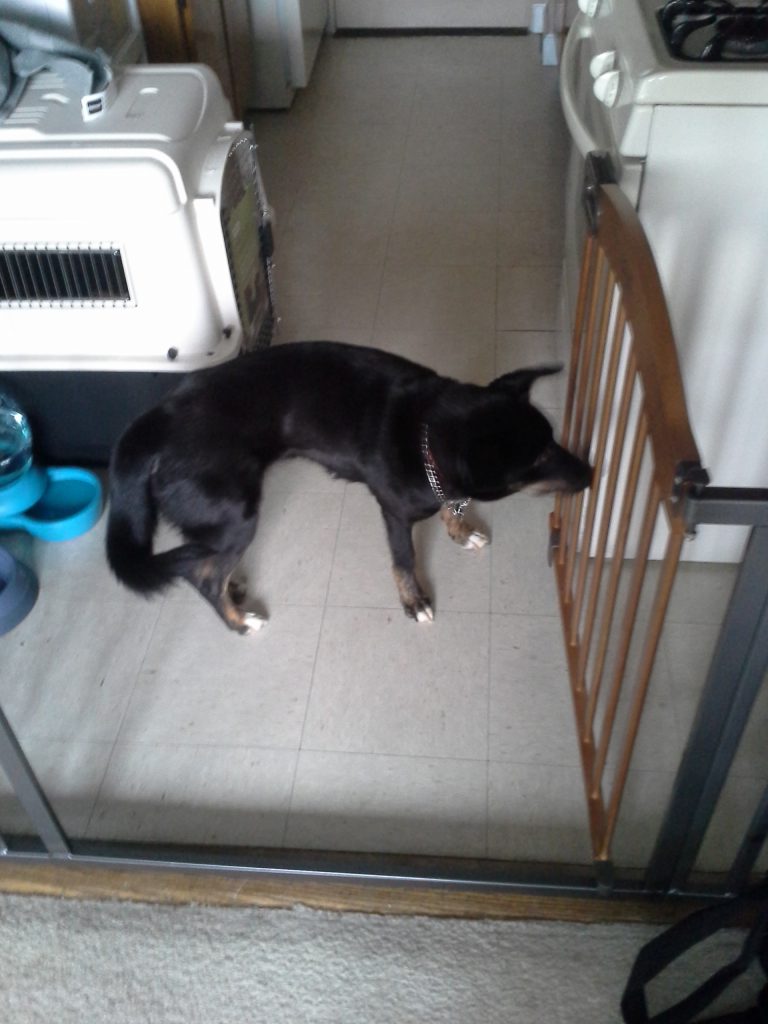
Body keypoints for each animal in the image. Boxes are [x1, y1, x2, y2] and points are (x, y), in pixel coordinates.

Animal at [105, 342, 593, 630]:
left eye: (553, 438)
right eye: (537, 460)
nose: (591, 473)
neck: (428, 432)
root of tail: (154, 423)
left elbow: (452, 505)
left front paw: (462, 530)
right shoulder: (394, 513)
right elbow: (404, 561)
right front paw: (414, 601)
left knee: (206, 565)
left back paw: (236, 586)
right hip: (236, 514)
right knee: (202, 575)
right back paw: (241, 621)